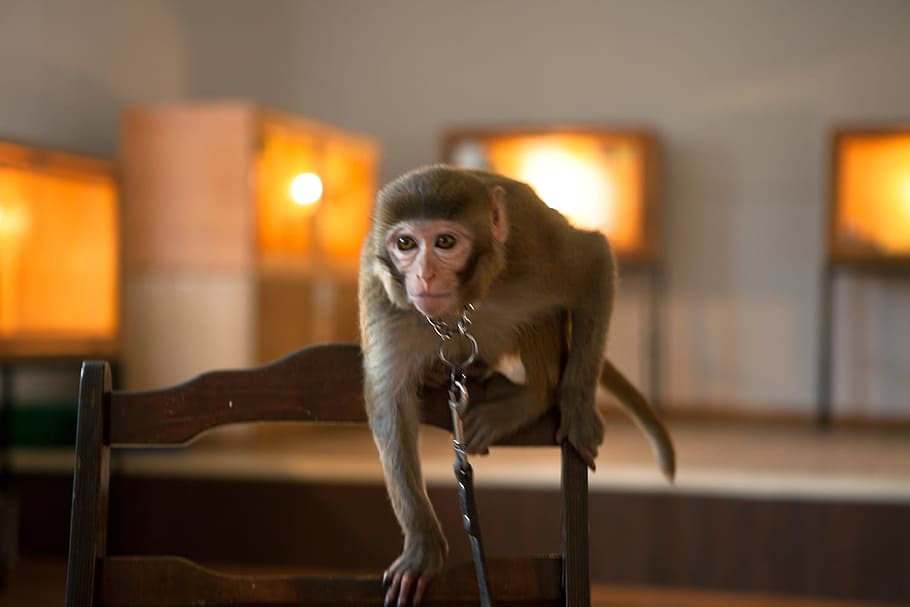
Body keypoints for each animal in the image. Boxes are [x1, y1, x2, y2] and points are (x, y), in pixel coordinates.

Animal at [359, 165, 675, 606]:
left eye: (444, 242)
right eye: (405, 243)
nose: (424, 275)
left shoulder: (533, 254)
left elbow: (594, 260)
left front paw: (577, 408)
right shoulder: (384, 298)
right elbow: (391, 405)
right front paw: (422, 545)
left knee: (543, 313)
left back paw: (529, 397)